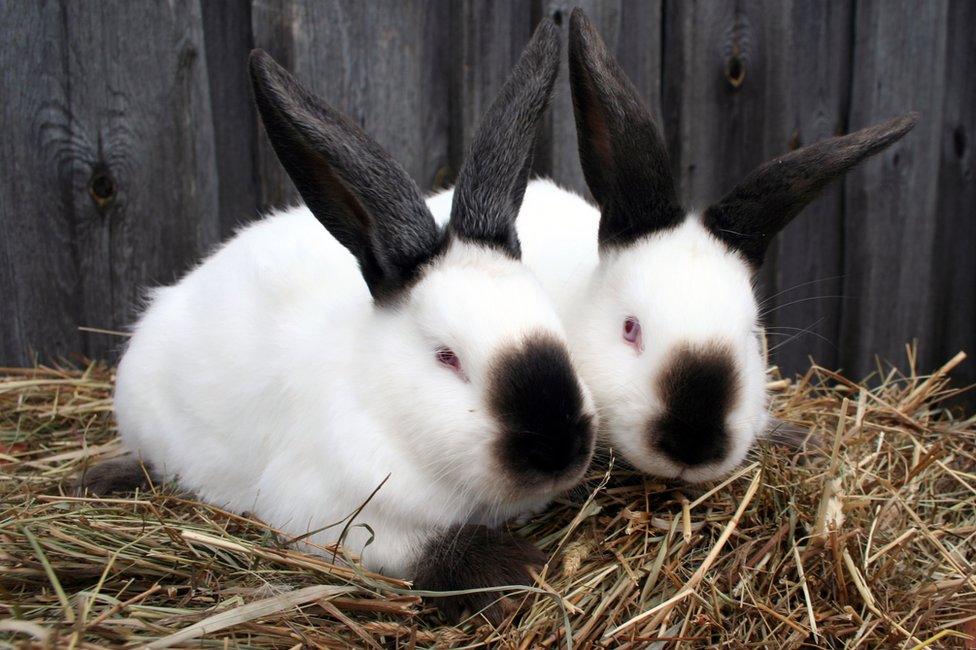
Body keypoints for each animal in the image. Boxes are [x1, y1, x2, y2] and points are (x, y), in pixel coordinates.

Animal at [78, 17, 596, 620]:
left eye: (556, 327)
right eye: (447, 358)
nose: (560, 448)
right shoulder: (337, 514)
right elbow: (423, 548)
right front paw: (515, 569)